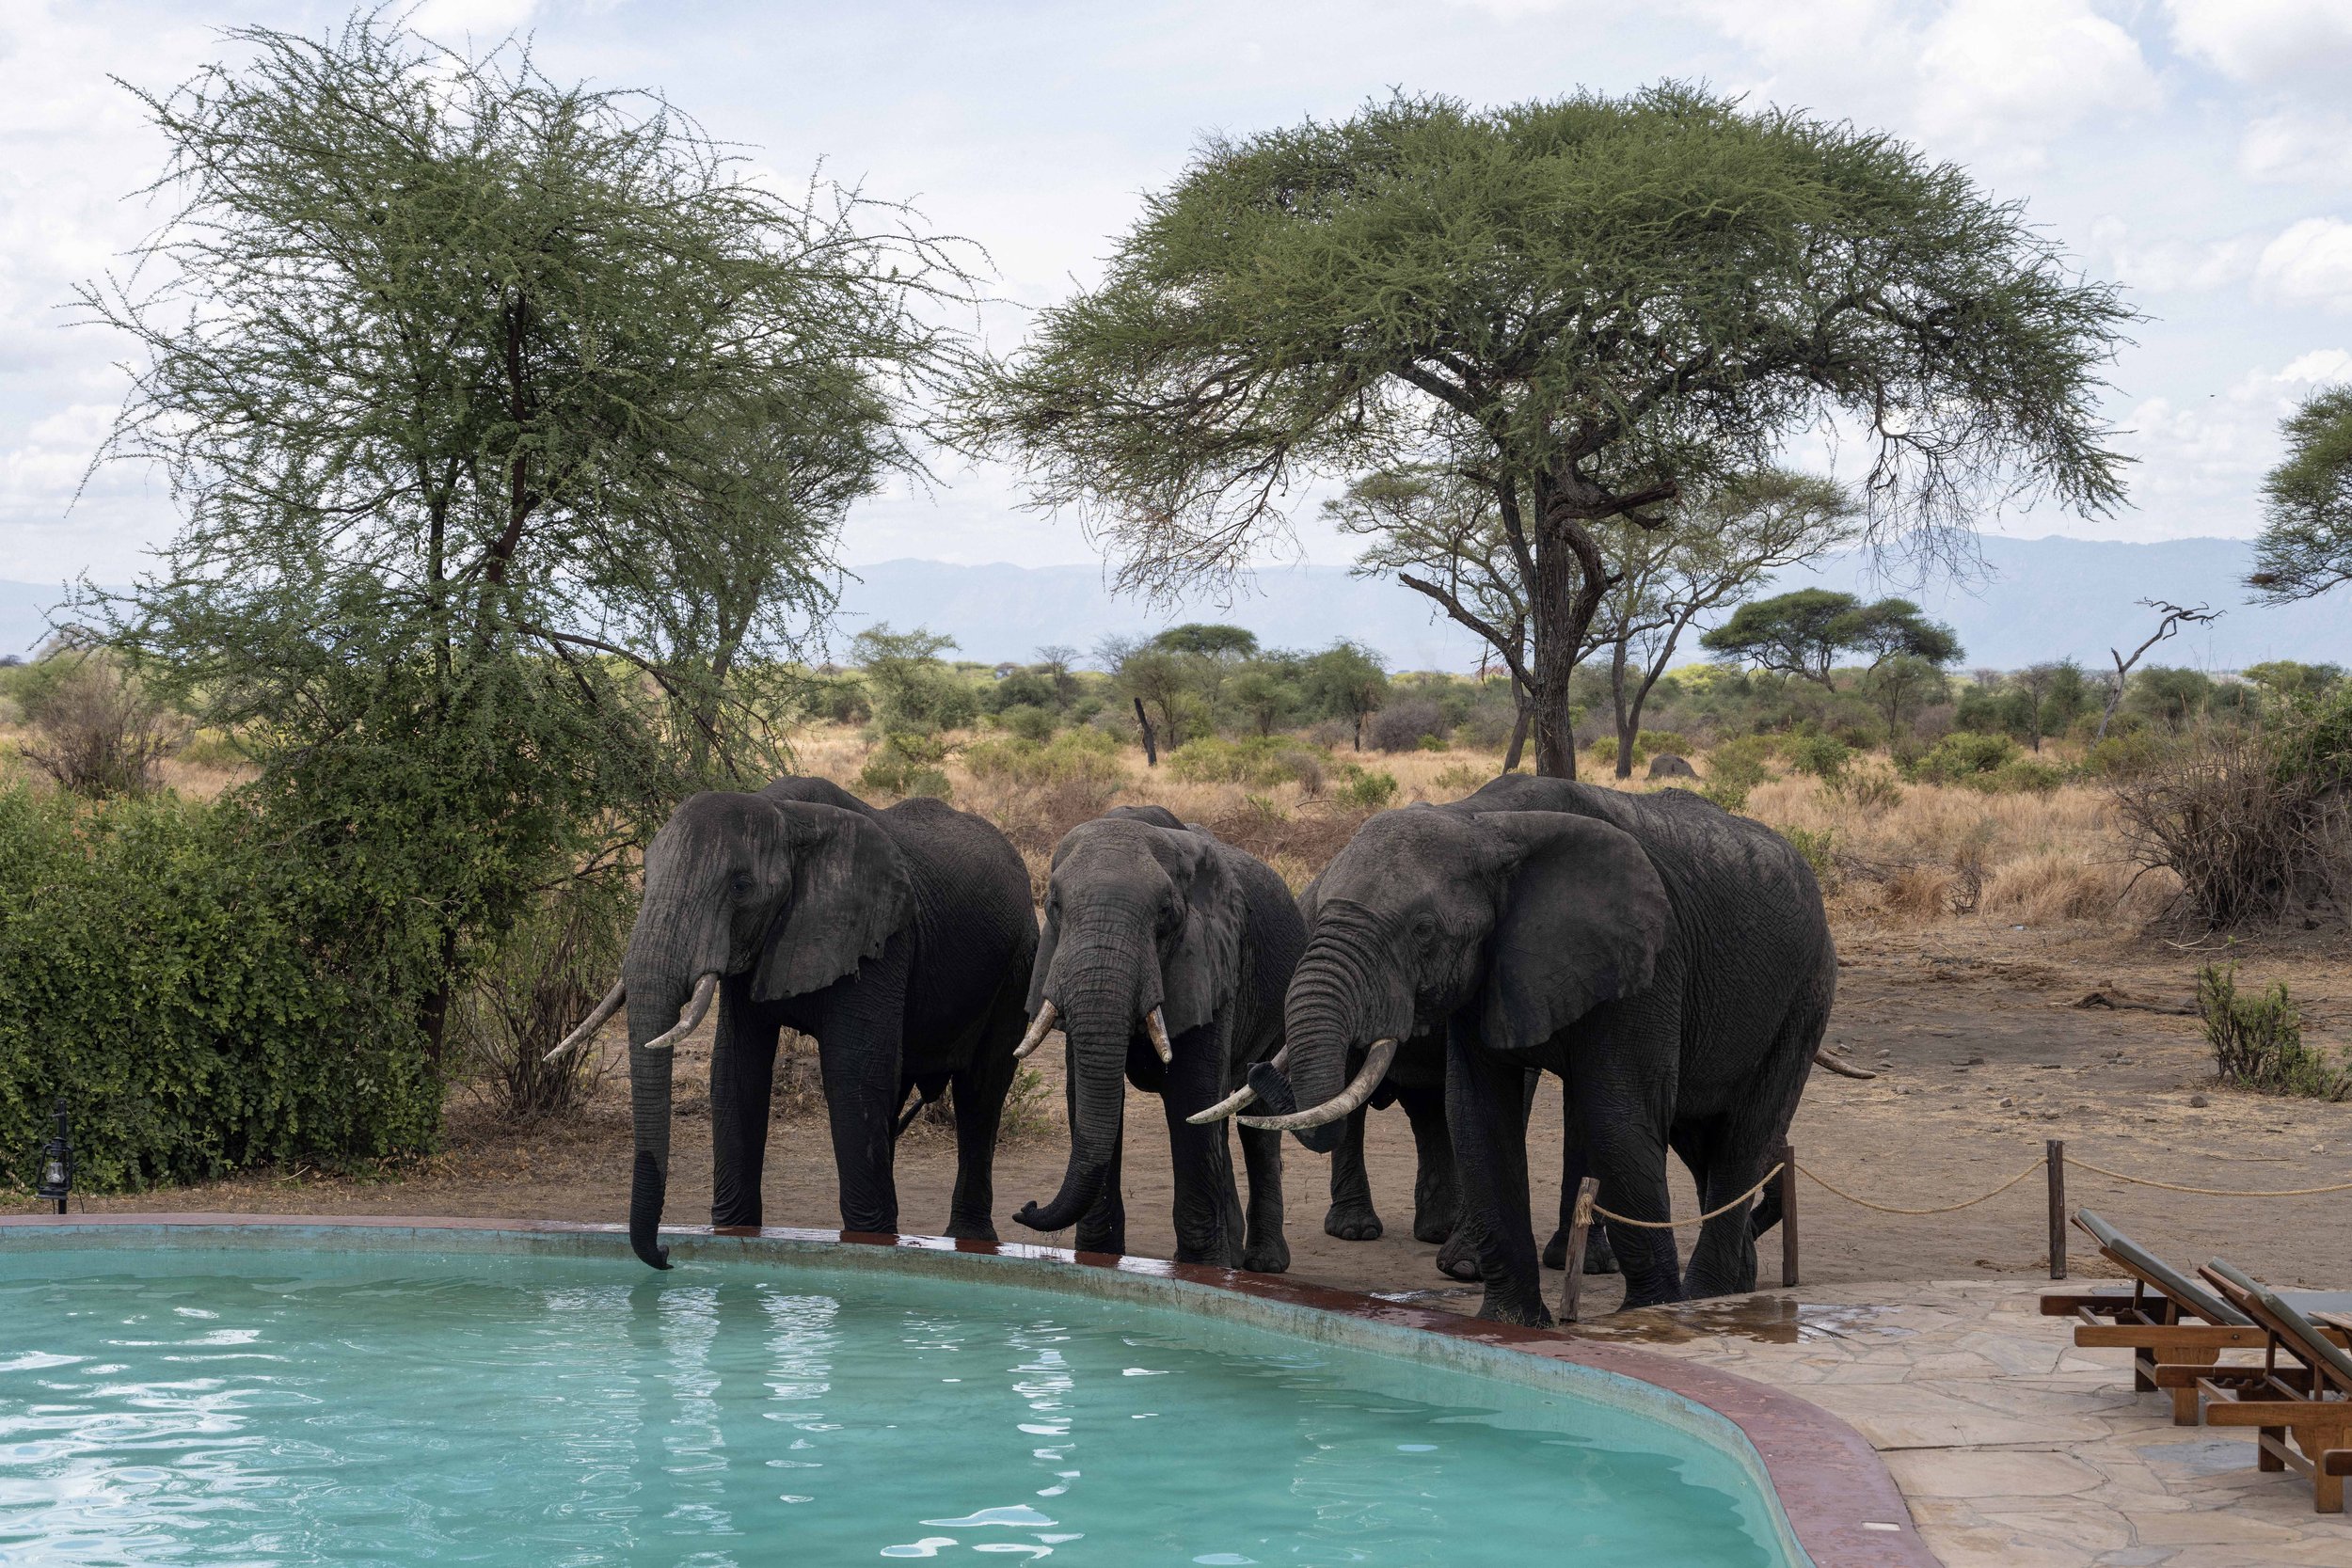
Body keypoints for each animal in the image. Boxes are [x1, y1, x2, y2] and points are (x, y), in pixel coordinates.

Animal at [556, 776, 1036, 1269]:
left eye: (741, 886)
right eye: (647, 877)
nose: (667, 1252)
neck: (786, 816)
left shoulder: (877, 936)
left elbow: (853, 1076)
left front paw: (867, 1243)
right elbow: (735, 1073)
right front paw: (733, 1234)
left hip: (1020, 961)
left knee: (982, 1091)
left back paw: (969, 1240)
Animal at [1013, 806, 1302, 1273]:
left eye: (1165, 913)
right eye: (1054, 906)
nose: (1026, 1206)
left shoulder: (1212, 962)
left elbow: (1190, 1095)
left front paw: (1201, 1268)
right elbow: (1087, 1097)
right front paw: (1097, 1258)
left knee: (1254, 1117)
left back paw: (1262, 1264)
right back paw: (1233, 1256)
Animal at [1198, 774, 1834, 1325]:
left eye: (1424, 931)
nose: (1257, 1060)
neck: (1482, 823)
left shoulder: (1649, 962)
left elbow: (1615, 1117)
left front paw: (1649, 1317)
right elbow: (1477, 1114)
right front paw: (1511, 1322)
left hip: (1805, 990)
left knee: (1744, 1134)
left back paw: (1706, 1300)